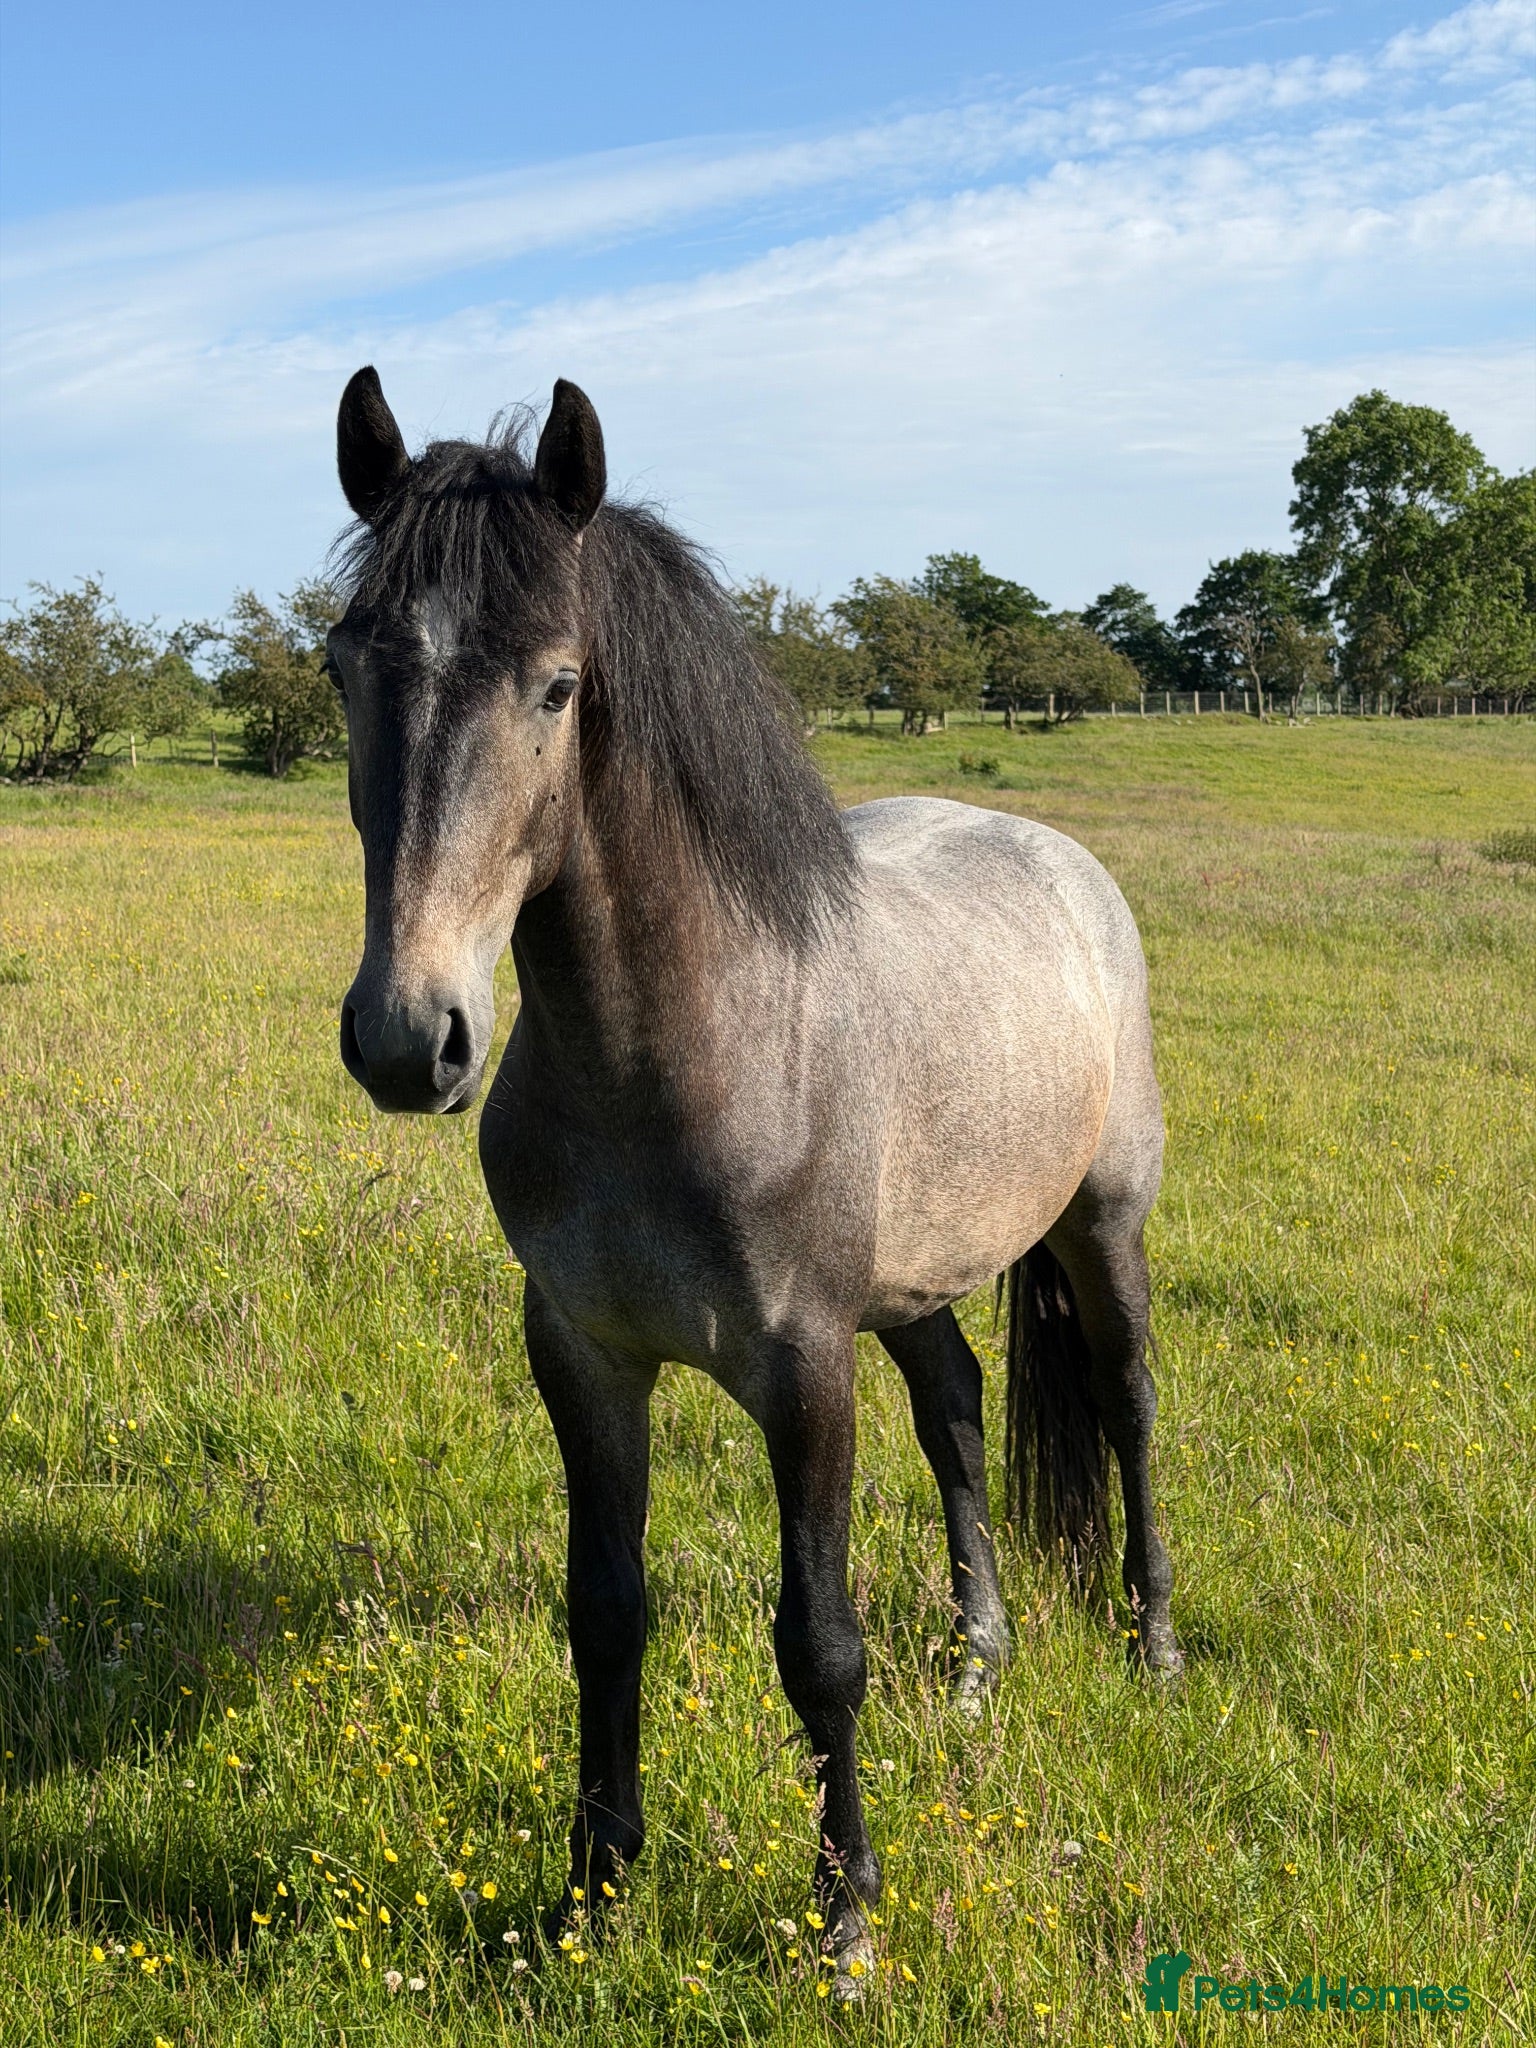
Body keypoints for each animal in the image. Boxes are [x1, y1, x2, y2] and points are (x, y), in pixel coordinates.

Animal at [327, 368, 1180, 1992]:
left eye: (558, 686)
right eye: (345, 669)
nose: (411, 1038)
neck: (688, 1049)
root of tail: (1056, 856)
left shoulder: (803, 1368)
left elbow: (820, 1643)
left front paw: (845, 1922)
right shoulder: (583, 1355)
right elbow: (605, 1613)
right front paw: (591, 1896)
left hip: (1101, 1227)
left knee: (1126, 1406)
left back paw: (1155, 1641)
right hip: (911, 1283)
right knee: (959, 1408)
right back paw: (977, 1667)